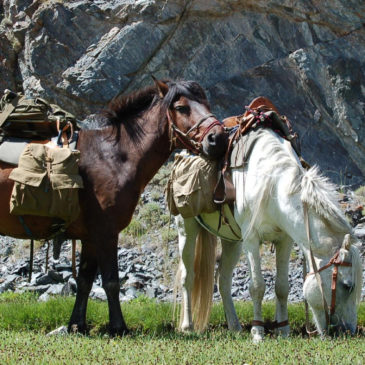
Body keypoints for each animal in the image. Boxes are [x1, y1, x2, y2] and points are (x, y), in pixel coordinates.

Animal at [0, 78, 228, 334]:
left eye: (206, 103)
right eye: (181, 108)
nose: (218, 139)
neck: (113, 157)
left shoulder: (91, 237)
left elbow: (85, 280)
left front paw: (77, 324)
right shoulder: (105, 233)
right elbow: (110, 281)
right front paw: (118, 326)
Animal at [174, 126, 362, 340]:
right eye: (347, 285)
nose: (347, 331)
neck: (273, 185)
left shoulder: (285, 240)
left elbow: (282, 287)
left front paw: (283, 330)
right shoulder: (251, 239)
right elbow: (257, 286)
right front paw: (257, 333)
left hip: (232, 242)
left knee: (223, 280)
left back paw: (235, 326)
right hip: (186, 229)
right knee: (188, 277)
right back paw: (188, 326)